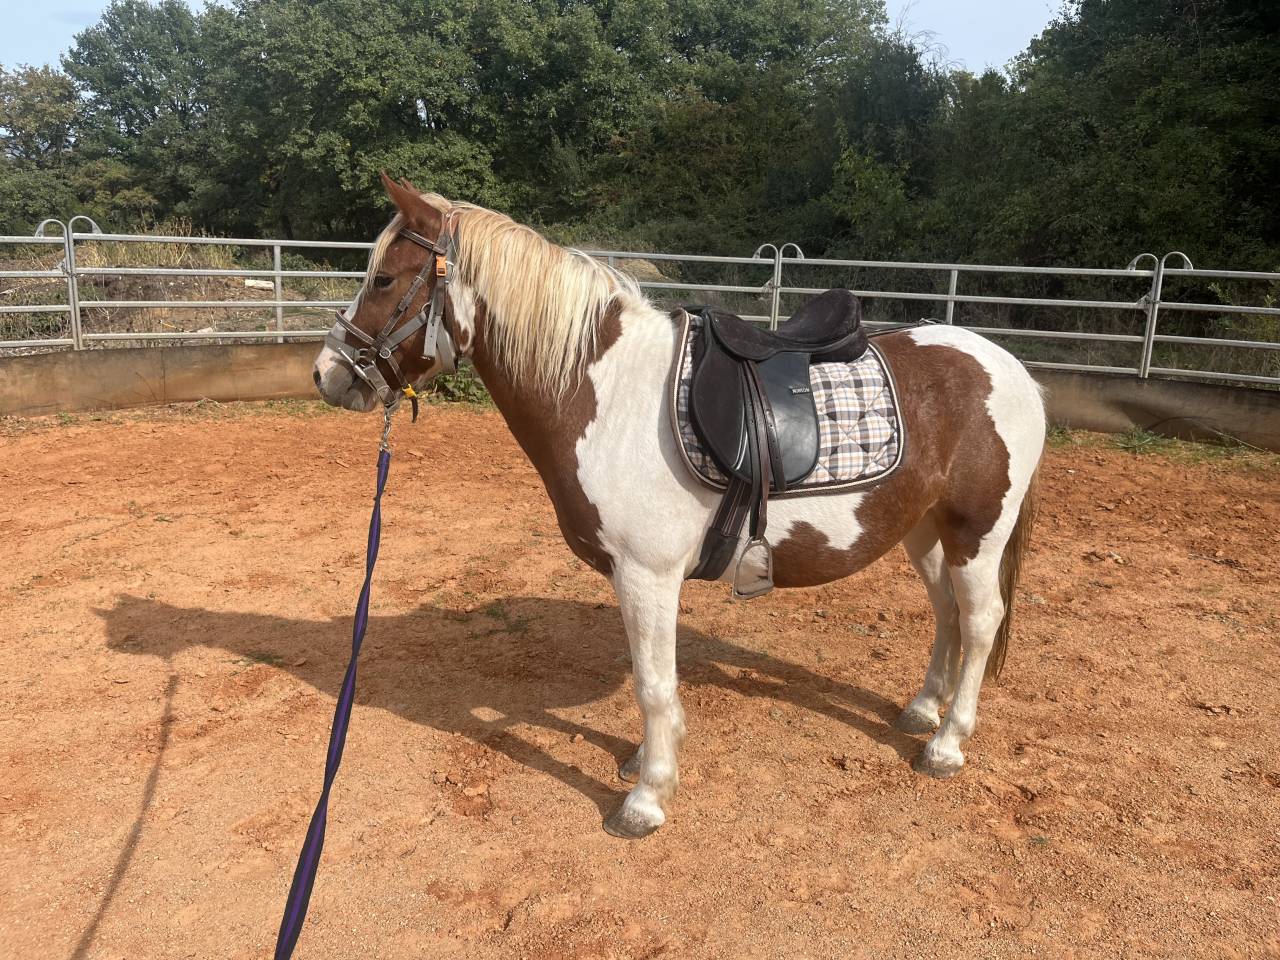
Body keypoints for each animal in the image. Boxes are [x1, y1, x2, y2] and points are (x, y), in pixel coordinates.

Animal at [313, 175, 1046, 839]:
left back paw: (946, 744)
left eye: (384, 279)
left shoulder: (648, 575)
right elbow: (652, 677)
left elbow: (654, 685)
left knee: (981, 621)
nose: (327, 374)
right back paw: (922, 711)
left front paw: (646, 799)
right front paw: (643, 762)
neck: (601, 391)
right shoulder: (634, 578)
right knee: (948, 614)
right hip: (926, 531)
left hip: (978, 534)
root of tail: (1011, 368)